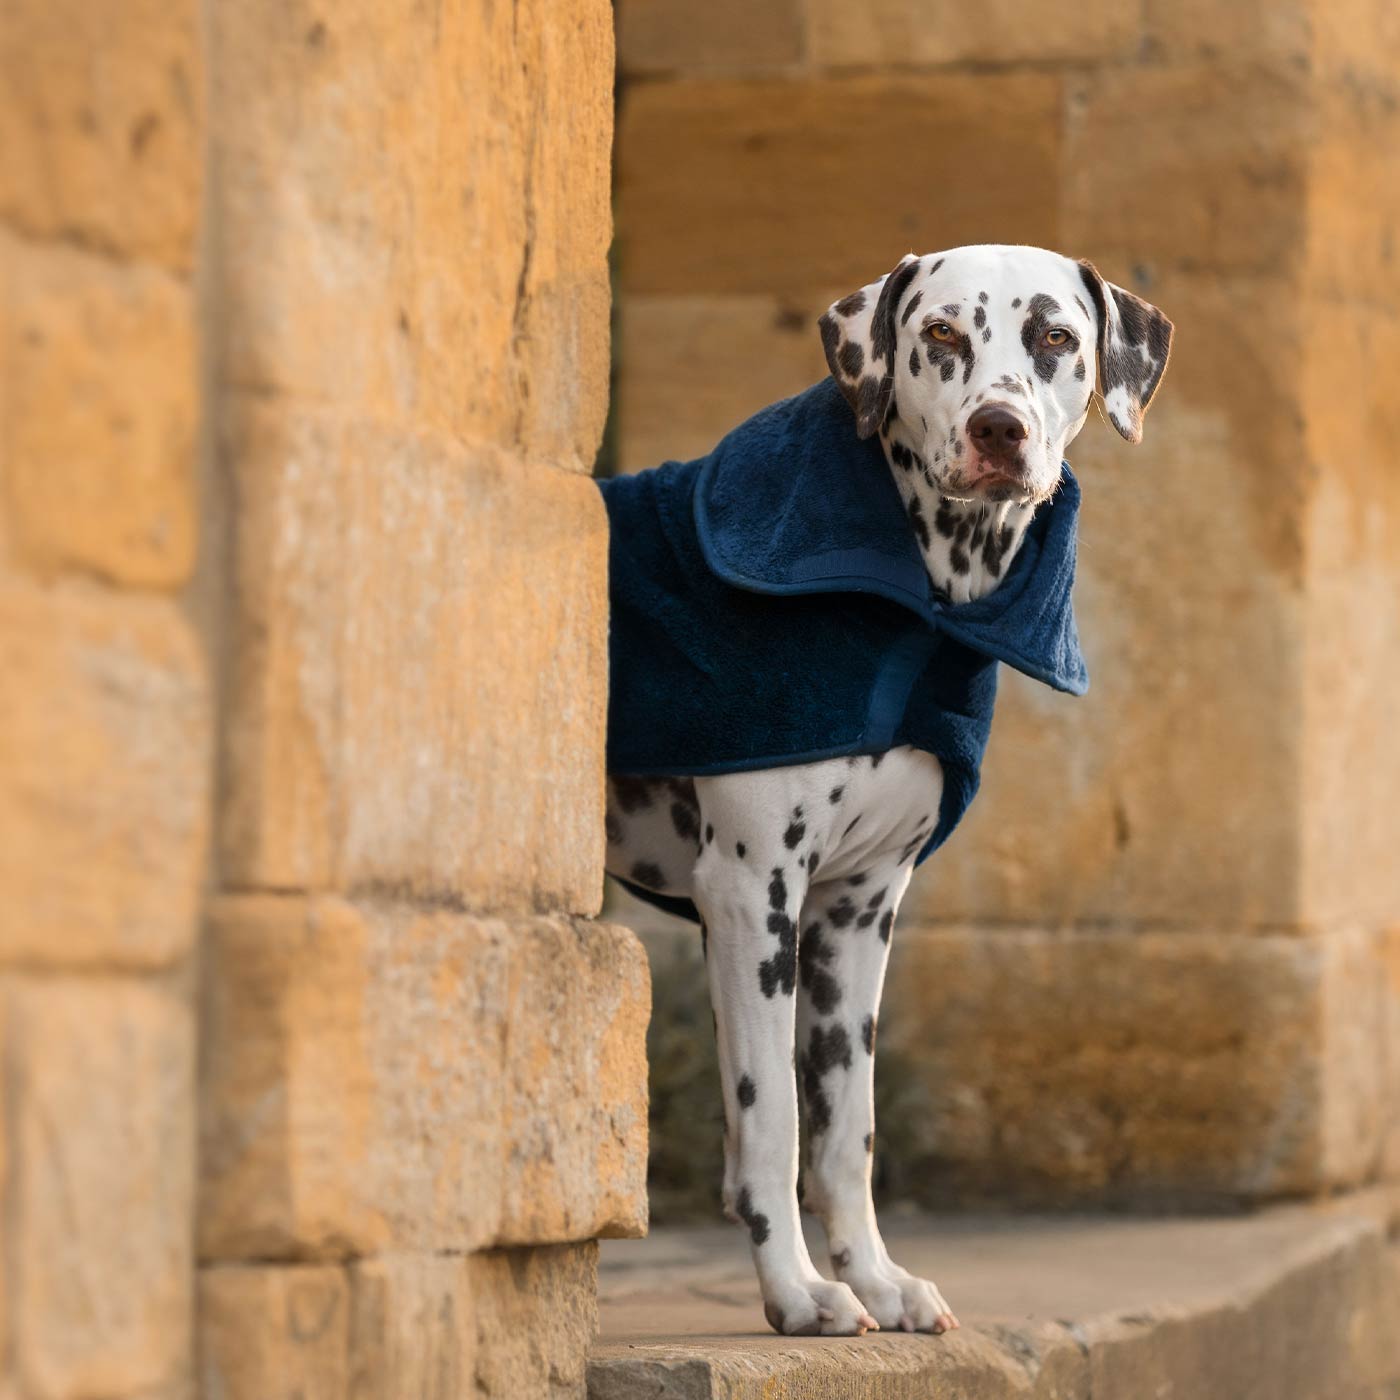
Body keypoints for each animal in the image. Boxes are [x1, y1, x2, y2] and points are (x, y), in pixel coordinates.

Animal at [602, 246, 1170, 1338]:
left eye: (1054, 336)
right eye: (941, 335)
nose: (1000, 429)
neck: (920, 605)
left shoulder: (857, 914)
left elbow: (844, 1130)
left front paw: (874, 1278)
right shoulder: (752, 900)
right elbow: (774, 1124)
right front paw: (797, 1295)